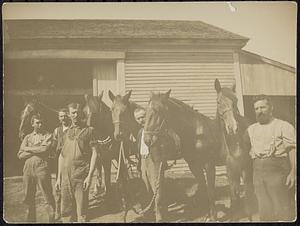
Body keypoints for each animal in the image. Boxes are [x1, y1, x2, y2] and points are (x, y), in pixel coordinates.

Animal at [214, 78, 254, 220]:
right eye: (218, 102)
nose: (232, 128)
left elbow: (247, 192)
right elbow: (234, 195)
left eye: (235, 101)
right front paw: (233, 215)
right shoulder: (230, 170)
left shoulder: (246, 167)